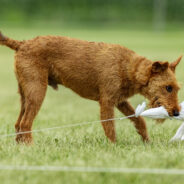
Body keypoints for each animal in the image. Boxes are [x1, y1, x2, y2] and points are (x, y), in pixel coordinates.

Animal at [0, 32, 182, 144]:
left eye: (176, 88)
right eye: (168, 88)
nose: (176, 112)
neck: (129, 68)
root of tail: (22, 43)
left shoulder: (120, 101)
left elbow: (139, 120)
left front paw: (147, 141)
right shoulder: (107, 102)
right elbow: (110, 127)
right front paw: (113, 147)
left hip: (26, 94)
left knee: (18, 123)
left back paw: (21, 147)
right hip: (37, 91)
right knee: (25, 124)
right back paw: (30, 146)